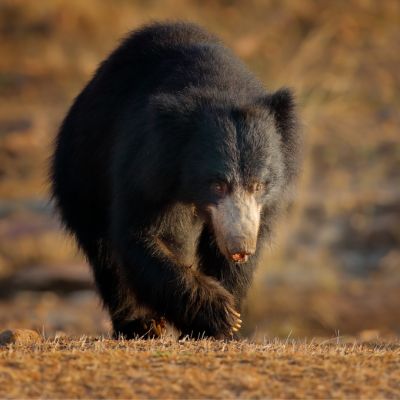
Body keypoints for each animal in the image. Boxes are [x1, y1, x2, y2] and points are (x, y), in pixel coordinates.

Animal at [50, 21, 300, 340]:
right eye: (217, 185)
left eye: (258, 185)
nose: (240, 247)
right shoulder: (145, 167)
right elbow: (141, 235)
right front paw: (220, 315)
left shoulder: (260, 208)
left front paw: (226, 318)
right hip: (82, 170)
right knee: (105, 253)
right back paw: (139, 323)